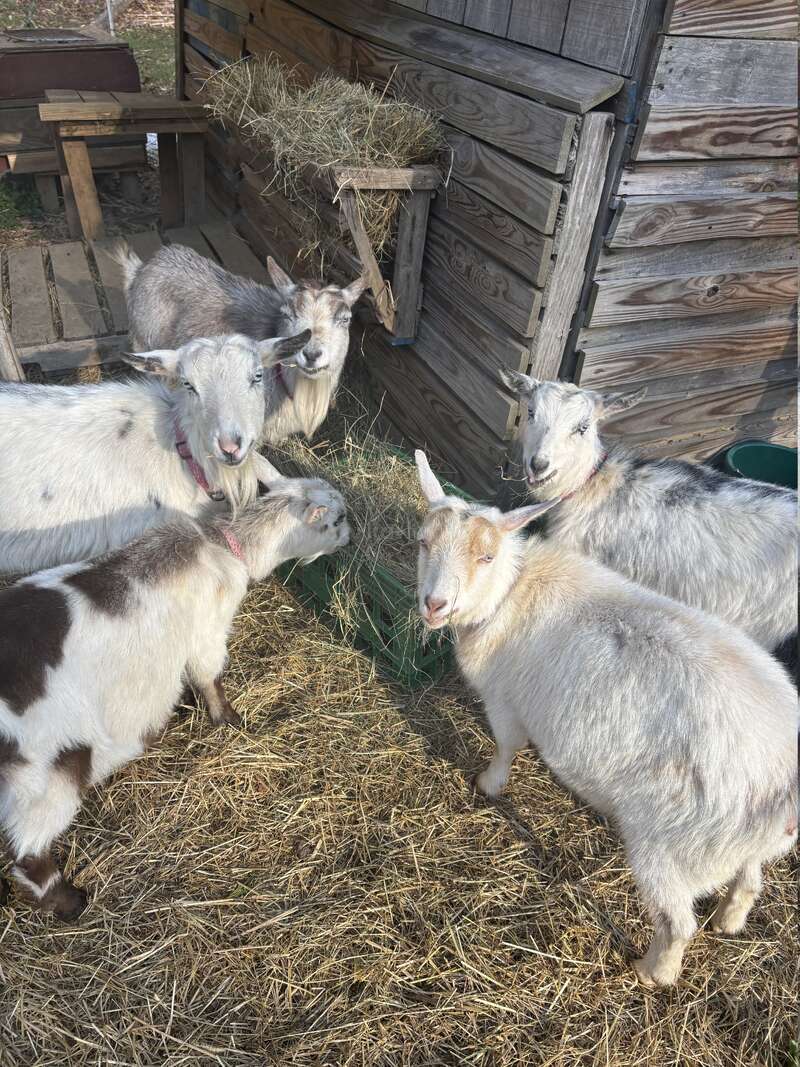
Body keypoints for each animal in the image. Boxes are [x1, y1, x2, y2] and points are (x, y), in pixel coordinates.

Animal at [0, 476, 349, 919]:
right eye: (337, 518)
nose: (350, 537)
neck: (223, 544)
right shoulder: (207, 634)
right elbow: (209, 676)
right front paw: (229, 719)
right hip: (47, 768)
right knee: (29, 849)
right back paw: (70, 902)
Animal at [414, 449, 798, 987]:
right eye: (423, 542)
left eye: (486, 557)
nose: (434, 605)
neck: (512, 592)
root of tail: (784, 774)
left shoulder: (505, 701)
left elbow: (507, 747)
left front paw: (488, 785)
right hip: (741, 846)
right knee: (749, 881)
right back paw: (729, 921)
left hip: (669, 846)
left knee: (677, 922)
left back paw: (652, 972)